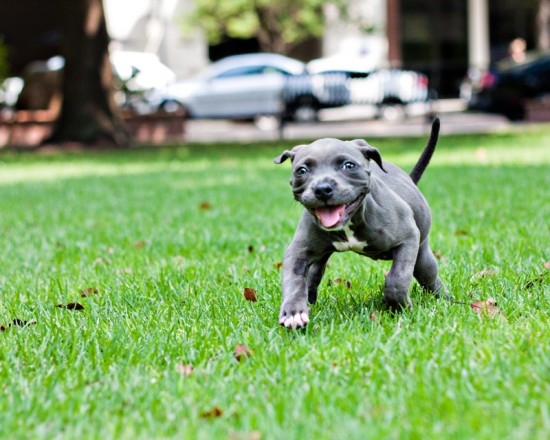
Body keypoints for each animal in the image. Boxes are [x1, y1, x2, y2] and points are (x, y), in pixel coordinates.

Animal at [276, 118, 448, 328]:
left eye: (348, 166)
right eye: (301, 170)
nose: (322, 189)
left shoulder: (407, 239)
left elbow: (397, 279)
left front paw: (399, 307)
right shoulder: (298, 252)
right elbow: (294, 280)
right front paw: (294, 312)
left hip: (422, 256)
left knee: (429, 277)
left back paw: (446, 299)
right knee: (314, 274)